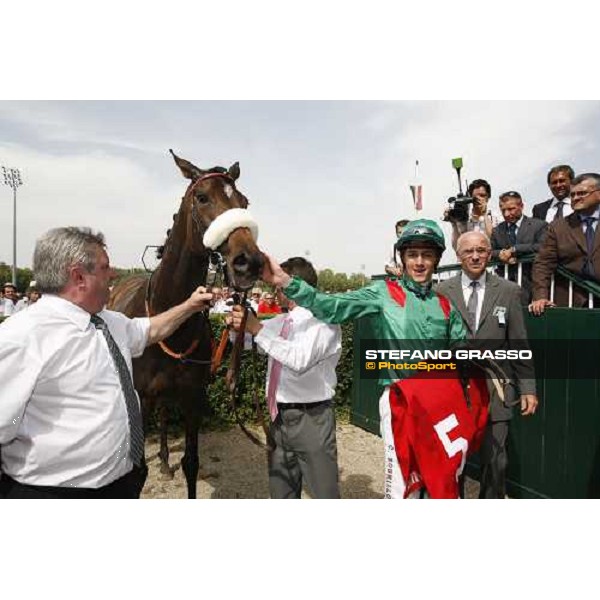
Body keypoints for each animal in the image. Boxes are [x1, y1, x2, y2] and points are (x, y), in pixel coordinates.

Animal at [109, 150, 264, 496]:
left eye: (245, 202)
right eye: (203, 197)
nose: (249, 262)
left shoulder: (194, 397)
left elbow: (191, 463)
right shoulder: (142, 398)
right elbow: (138, 471)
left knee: (166, 415)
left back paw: (166, 461)